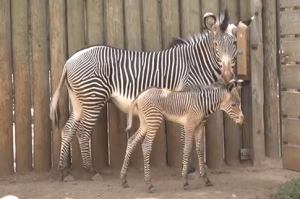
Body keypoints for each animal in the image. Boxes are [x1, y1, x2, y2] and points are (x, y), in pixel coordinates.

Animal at [50, 9, 252, 180]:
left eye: (235, 43)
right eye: (215, 44)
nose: (228, 75)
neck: (196, 64)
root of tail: (69, 60)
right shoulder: (187, 98)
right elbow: (185, 137)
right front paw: (190, 169)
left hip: (79, 100)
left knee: (68, 129)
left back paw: (64, 171)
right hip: (93, 98)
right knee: (83, 132)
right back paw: (91, 171)